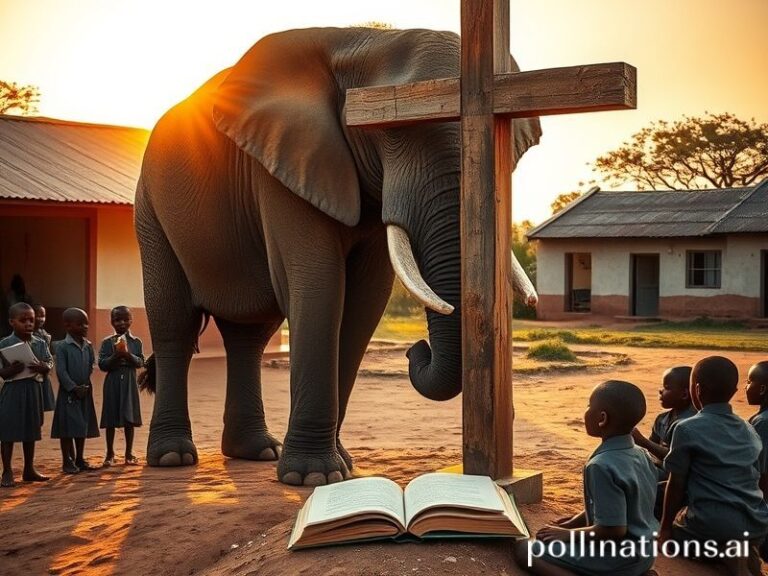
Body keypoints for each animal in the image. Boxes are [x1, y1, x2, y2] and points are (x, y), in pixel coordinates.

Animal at [135, 27, 540, 486]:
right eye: (391, 131)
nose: (414, 349)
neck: (363, 40)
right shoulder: (282, 169)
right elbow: (321, 284)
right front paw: (313, 478)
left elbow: (365, 302)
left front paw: (341, 469)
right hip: (150, 210)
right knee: (173, 324)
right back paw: (173, 457)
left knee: (249, 336)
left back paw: (257, 452)